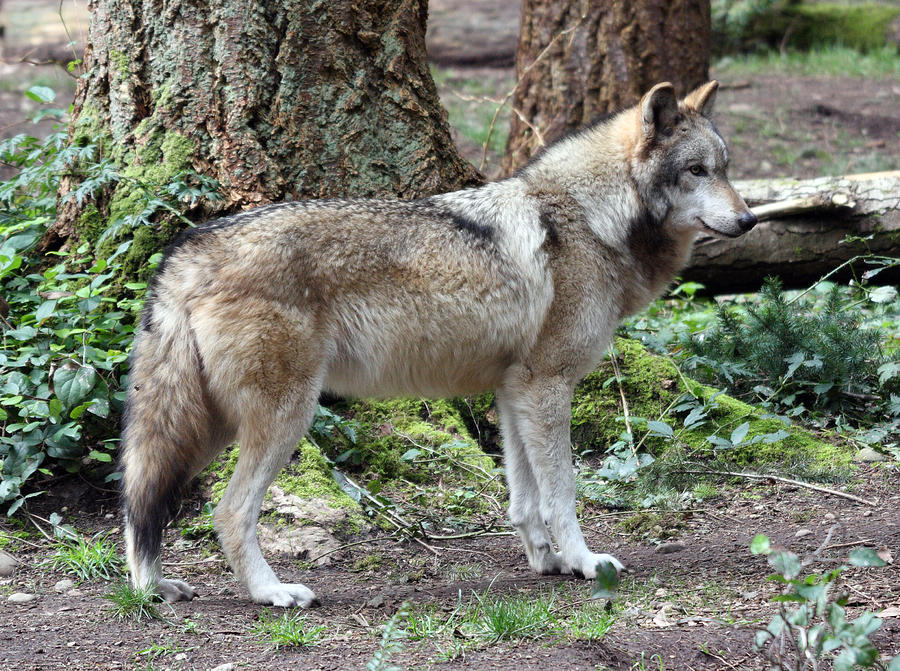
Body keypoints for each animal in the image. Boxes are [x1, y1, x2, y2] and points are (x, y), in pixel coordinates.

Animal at [119, 81, 752, 608]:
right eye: (697, 170)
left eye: (725, 169)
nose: (749, 220)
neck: (593, 219)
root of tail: (186, 249)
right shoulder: (547, 386)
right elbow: (562, 493)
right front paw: (584, 562)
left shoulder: (514, 392)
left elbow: (524, 499)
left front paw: (545, 562)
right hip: (282, 418)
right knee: (228, 512)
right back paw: (271, 593)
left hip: (208, 427)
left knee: (141, 498)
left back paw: (152, 588)